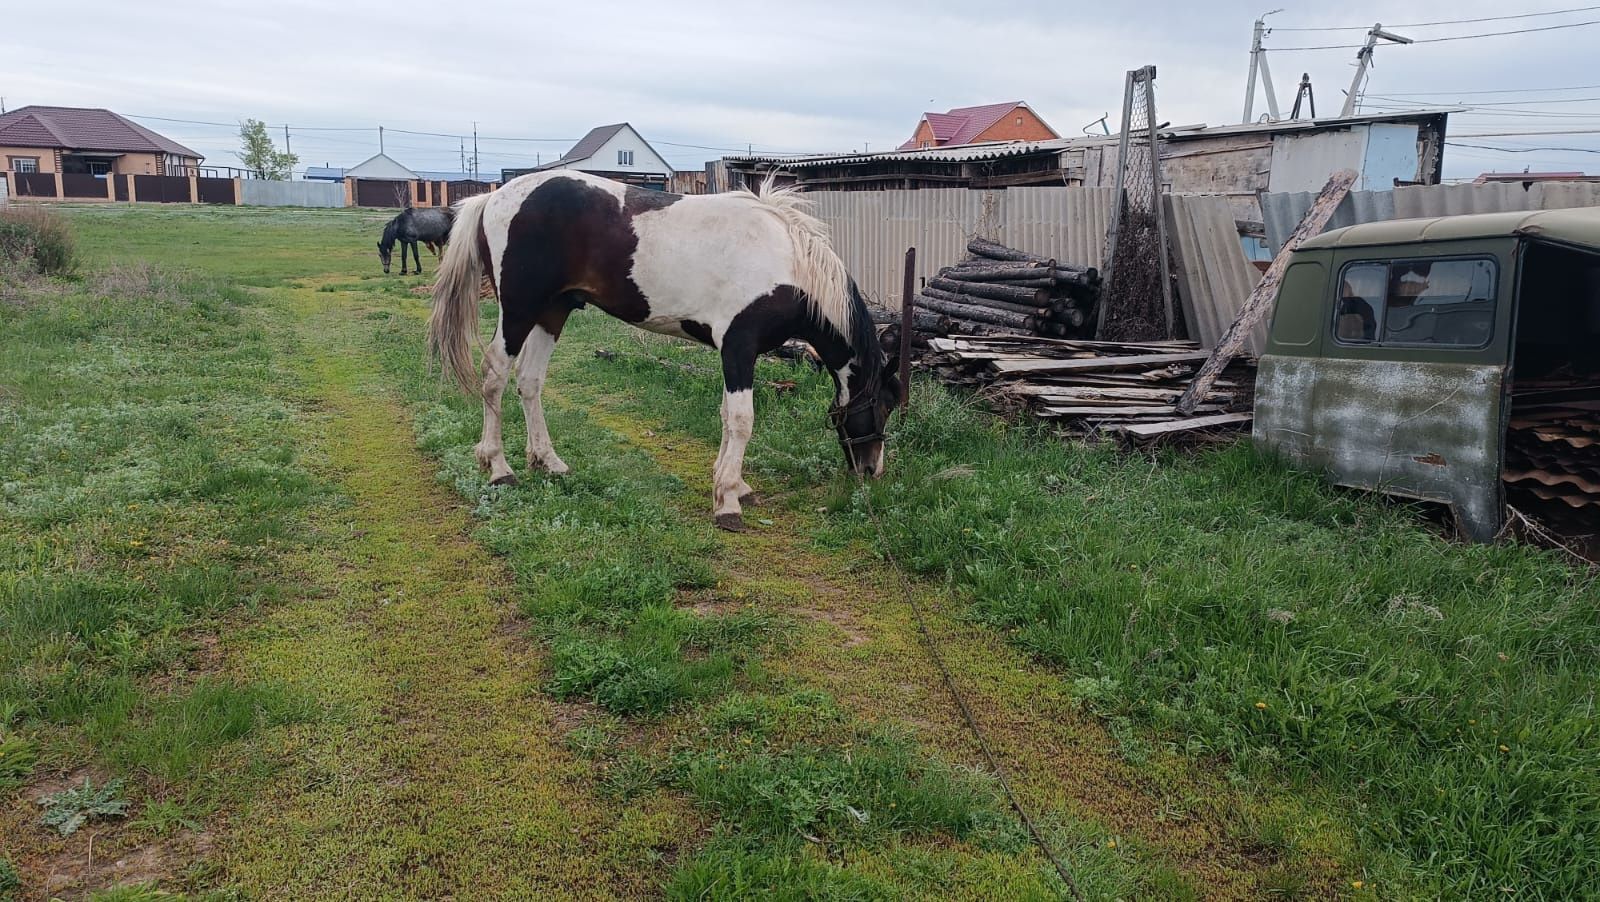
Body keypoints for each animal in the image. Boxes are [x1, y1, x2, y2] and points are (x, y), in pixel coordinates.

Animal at [425, 169, 902, 527]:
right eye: (883, 404)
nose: (872, 470)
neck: (786, 262)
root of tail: (491, 199)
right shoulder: (739, 347)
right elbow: (742, 420)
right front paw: (728, 502)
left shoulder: (733, 353)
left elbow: (726, 417)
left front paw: (733, 486)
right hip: (520, 310)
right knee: (494, 375)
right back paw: (498, 468)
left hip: (553, 311)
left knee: (530, 380)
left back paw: (548, 461)